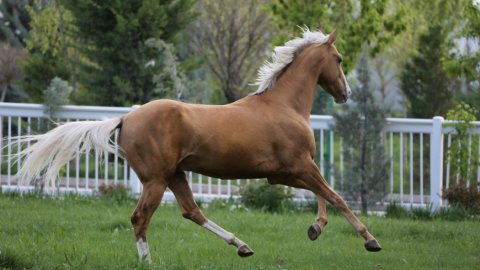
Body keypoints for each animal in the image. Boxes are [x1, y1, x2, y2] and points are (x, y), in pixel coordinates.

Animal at [10, 29, 382, 262]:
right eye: (339, 59)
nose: (345, 93)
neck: (283, 105)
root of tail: (125, 118)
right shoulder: (299, 165)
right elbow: (336, 196)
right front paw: (370, 240)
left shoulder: (286, 172)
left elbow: (323, 194)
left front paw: (315, 229)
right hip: (156, 180)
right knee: (140, 218)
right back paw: (149, 261)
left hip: (175, 174)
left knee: (191, 211)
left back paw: (241, 246)